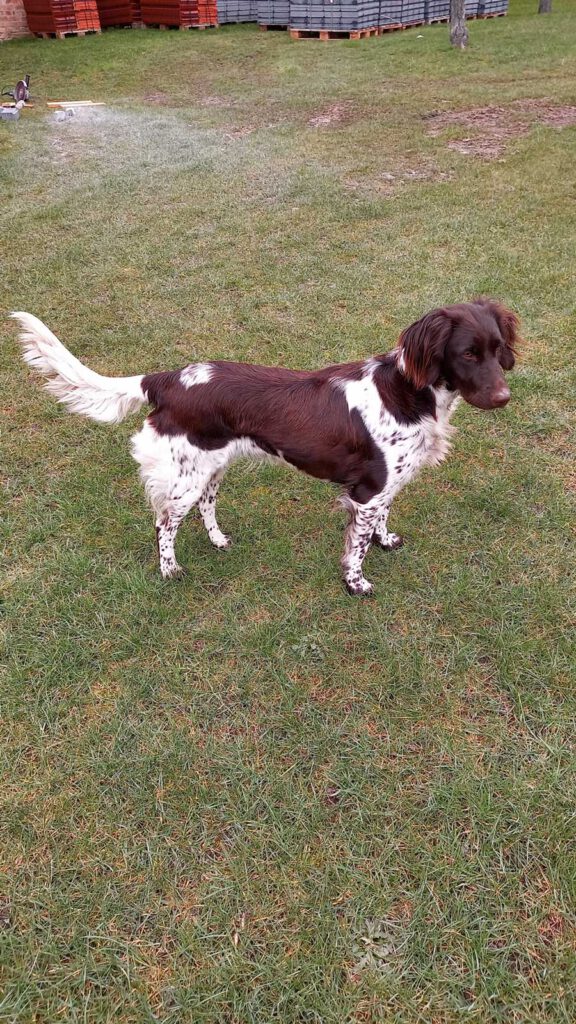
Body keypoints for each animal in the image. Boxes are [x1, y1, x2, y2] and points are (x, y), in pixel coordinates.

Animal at [12, 298, 520, 595]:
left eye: (497, 349)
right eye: (467, 353)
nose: (503, 398)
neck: (410, 393)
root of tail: (166, 380)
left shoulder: (384, 486)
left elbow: (381, 521)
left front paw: (386, 540)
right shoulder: (366, 491)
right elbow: (355, 548)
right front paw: (356, 583)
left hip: (210, 466)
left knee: (206, 507)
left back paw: (218, 541)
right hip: (184, 476)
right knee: (163, 524)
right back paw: (170, 570)